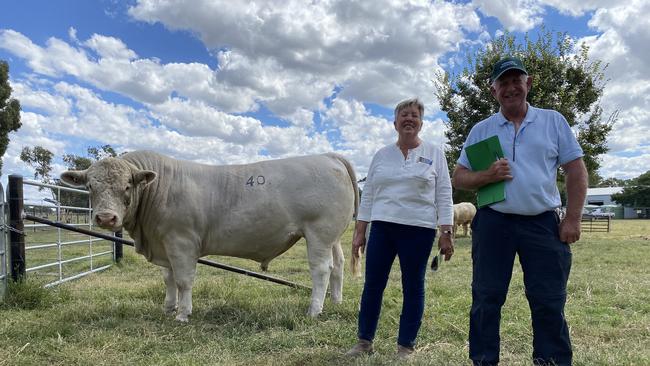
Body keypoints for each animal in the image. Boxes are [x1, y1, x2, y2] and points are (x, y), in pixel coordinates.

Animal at [60, 151, 356, 320]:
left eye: (127, 186)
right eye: (90, 186)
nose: (106, 218)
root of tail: (328, 156)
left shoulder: (181, 242)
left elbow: (183, 281)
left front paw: (182, 314)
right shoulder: (165, 244)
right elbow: (168, 279)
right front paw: (168, 308)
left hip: (318, 232)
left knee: (321, 270)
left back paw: (314, 311)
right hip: (332, 236)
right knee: (339, 266)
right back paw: (335, 301)